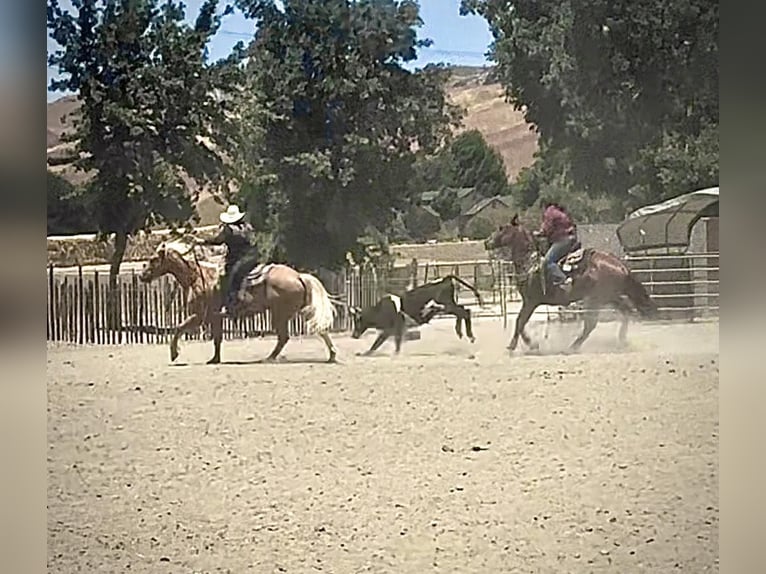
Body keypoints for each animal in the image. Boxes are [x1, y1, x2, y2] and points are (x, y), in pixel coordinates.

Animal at [141, 242, 340, 364]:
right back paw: (331, 355)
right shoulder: (215, 318)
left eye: (153, 259)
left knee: (284, 337)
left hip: (280, 314)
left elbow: (178, 328)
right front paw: (214, 359)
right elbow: (217, 339)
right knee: (320, 330)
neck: (197, 276)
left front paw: (174, 354)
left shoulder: (199, 316)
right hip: (300, 310)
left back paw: (269, 358)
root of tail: (298, 276)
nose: (143, 276)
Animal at [486, 214, 660, 354]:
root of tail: (620, 265)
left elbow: (519, 322)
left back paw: (572, 347)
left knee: (591, 324)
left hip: (596, 299)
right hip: (610, 297)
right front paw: (528, 344)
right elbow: (520, 322)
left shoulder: (531, 301)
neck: (529, 263)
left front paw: (521, 345)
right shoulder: (529, 302)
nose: (487, 242)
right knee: (626, 311)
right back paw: (621, 341)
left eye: (501, 228)